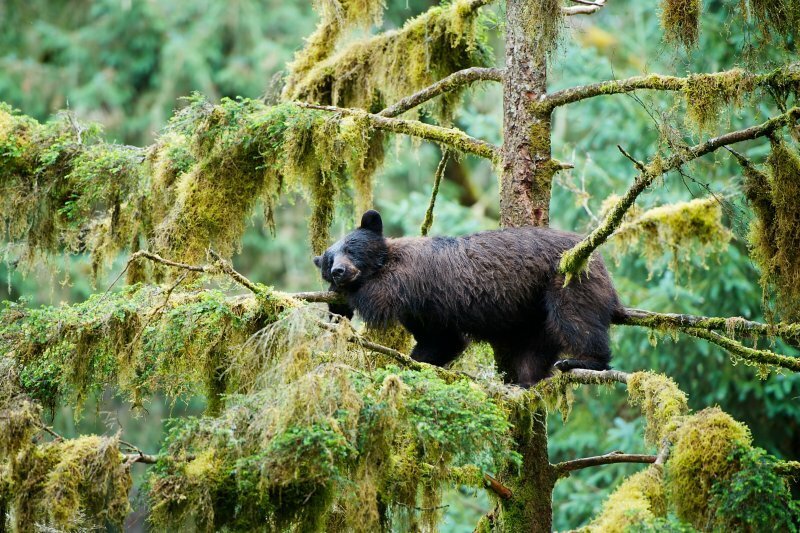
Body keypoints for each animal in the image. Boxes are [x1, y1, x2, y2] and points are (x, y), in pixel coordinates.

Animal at [314, 209, 624, 386]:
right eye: (329, 260)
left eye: (351, 248)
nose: (339, 271)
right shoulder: (423, 312)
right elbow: (440, 341)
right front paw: (414, 363)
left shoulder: (413, 276)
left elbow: (379, 296)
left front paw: (343, 298)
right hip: (533, 311)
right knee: (535, 349)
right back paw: (526, 380)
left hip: (567, 279)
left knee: (577, 318)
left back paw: (583, 361)